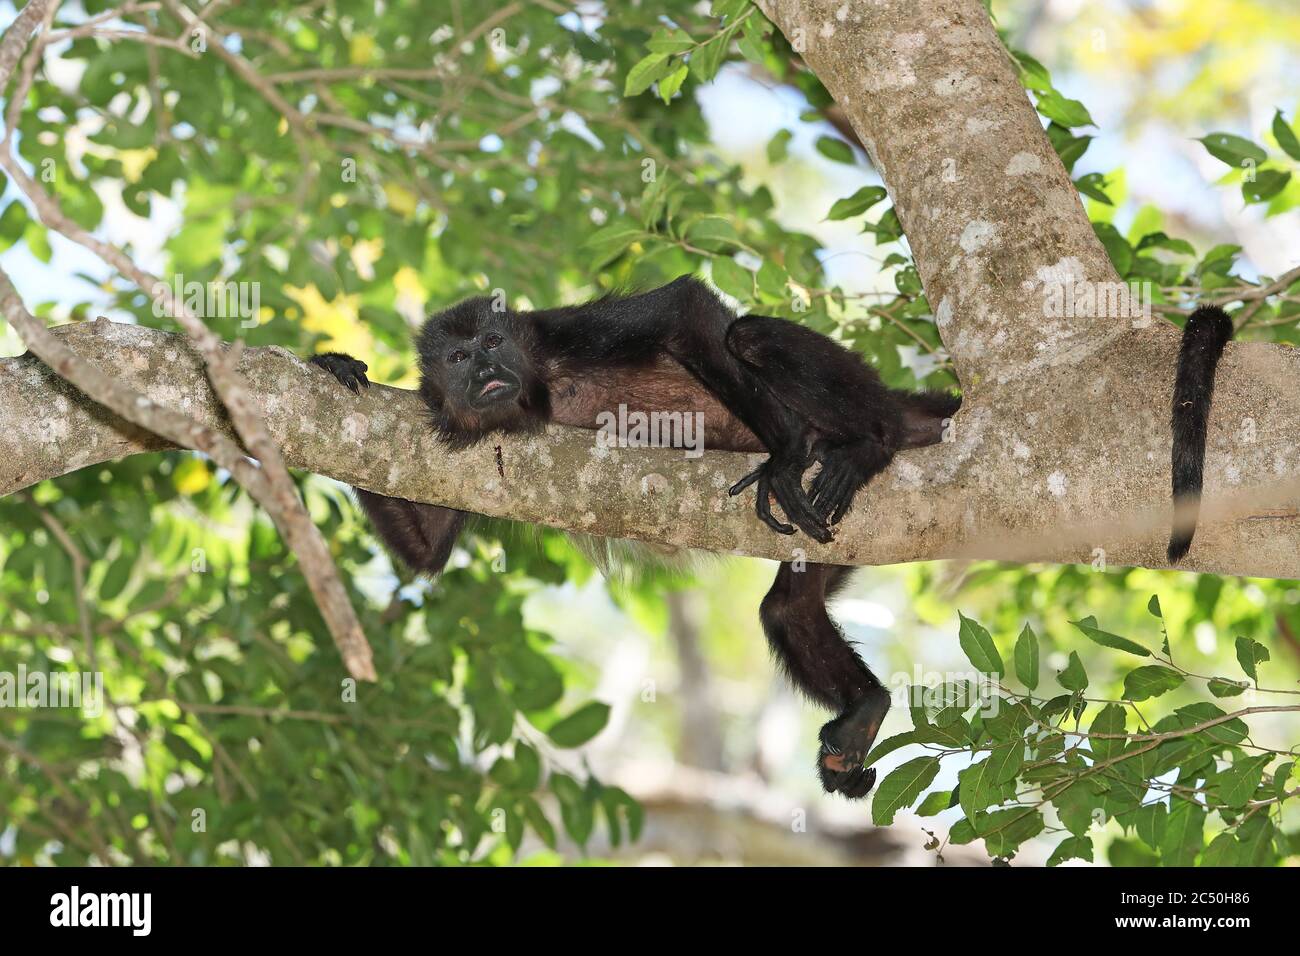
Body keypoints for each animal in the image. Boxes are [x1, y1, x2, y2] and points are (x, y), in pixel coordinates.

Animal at [312, 277, 967, 801]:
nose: (485, 371)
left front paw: (784, 453)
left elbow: (682, 305)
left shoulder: (559, 332)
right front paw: (335, 365)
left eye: (493, 343)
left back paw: (866, 443)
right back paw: (864, 708)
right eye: (456, 355)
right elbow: (428, 551)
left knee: (750, 337)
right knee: (787, 608)